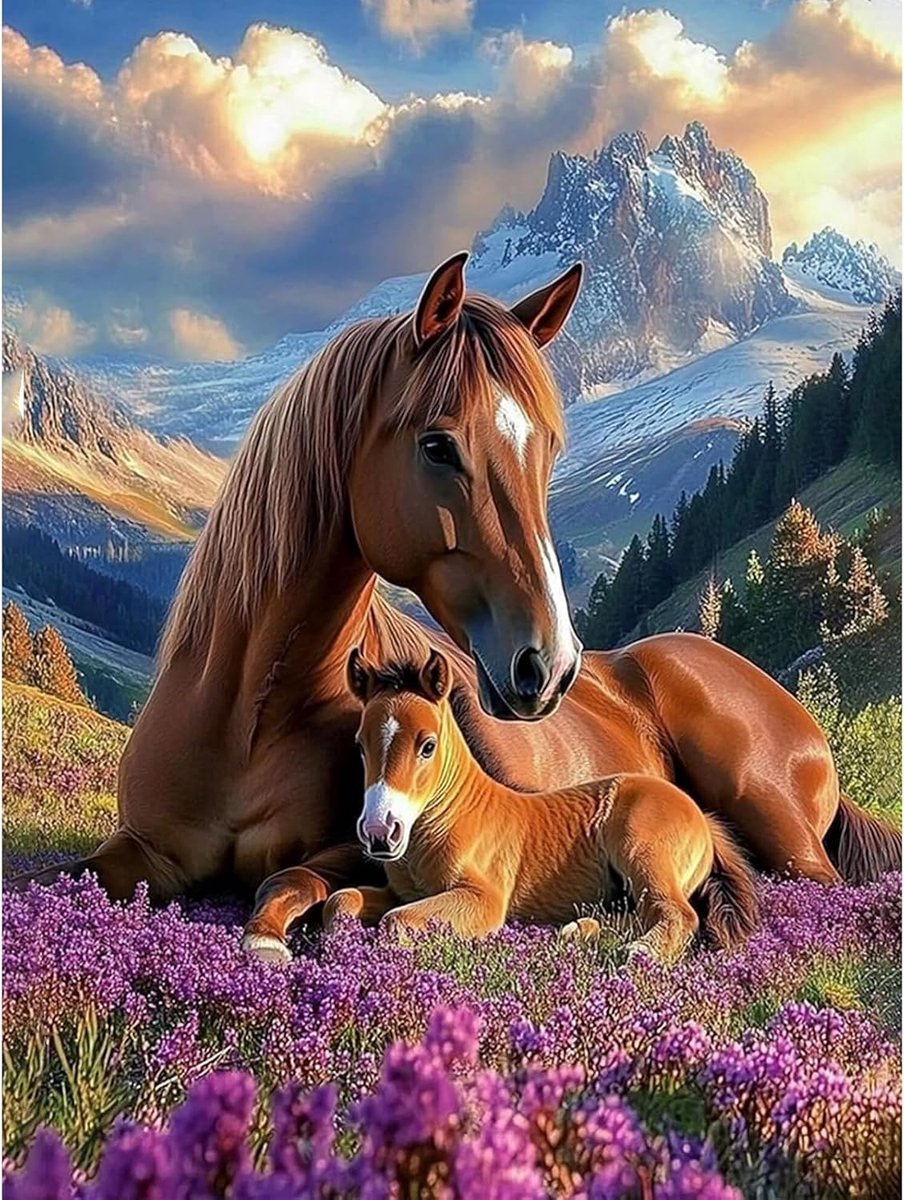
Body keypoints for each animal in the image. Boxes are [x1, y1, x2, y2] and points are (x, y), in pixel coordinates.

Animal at [321, 647, 759, 963]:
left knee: (677, 913)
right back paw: (576, 931)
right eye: (360, 745)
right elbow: (340, 902)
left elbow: (395, 923)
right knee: (633, 914)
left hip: (643, 852)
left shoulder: (484, 901)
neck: (452, 817)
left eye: (427, 745)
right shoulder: (400, 893)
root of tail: (701, 817)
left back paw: (641, 952)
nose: (380, 832)